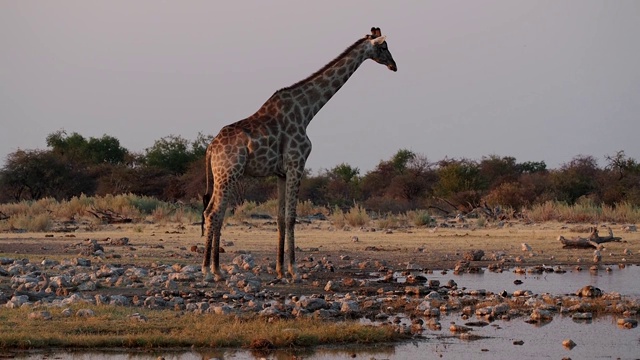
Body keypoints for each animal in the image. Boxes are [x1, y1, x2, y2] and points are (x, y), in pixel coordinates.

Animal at [202, 27, 398, 282]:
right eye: (383, 47)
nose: (394, 65)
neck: (307, 112)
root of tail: (210, 148)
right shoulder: (297, 163)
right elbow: (292, 217)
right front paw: (294, 270)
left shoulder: (281, 173)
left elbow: (280, 218)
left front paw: (280, 269)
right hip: (228, 172)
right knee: (213, 213)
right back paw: (208, 270)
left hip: (222, 175)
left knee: (214, 212)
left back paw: (216, 269)